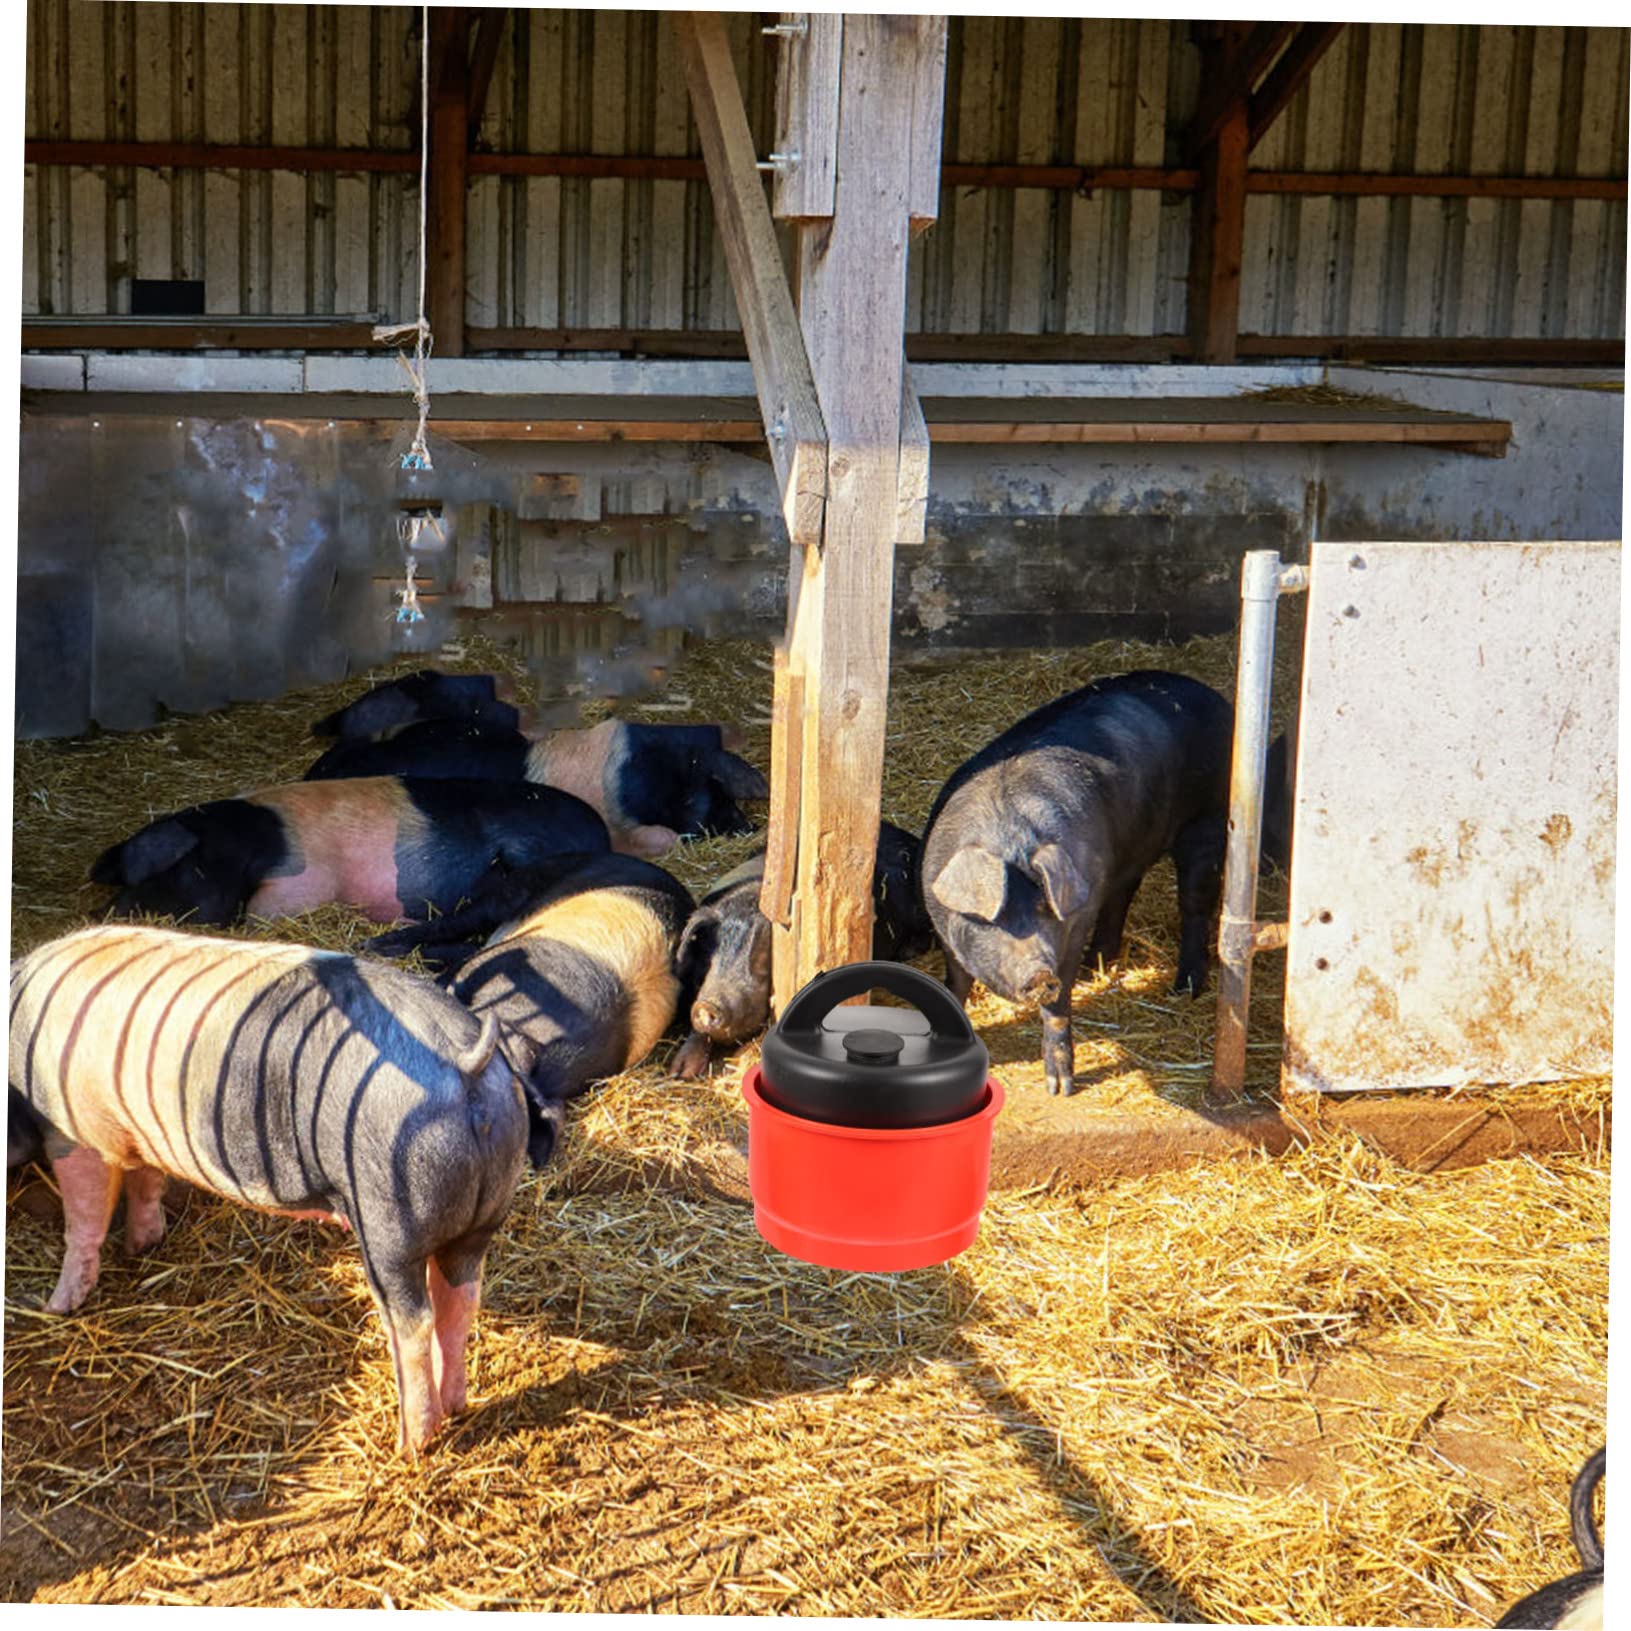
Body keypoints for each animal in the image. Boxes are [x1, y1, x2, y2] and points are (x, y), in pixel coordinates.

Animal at [8, 923, 536, 1457]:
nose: (47, 1306)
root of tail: (464, 1059)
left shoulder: (72, 1130)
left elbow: (84, 1217)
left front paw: (55, 1306)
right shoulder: (137, 1134)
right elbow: (145, 1182)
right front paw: (142, 1245)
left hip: (389, 1222)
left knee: (412, 1323)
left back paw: (410, 1444)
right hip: (485, 1211)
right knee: (461, 1300)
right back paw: (456, 1406)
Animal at [920, 670, 1233, 1096]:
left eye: (1044, 908)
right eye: (994, 918)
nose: (1040, 972)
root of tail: (1217, 699)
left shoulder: (1073, 925)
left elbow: (1057, 1008)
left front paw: (1060, 1088)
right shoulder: (946, 932)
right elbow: (956, 981)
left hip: (1208, 819)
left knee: (1195, 904)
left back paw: (1183, 988)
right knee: (1123, 890)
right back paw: (1094, 967)